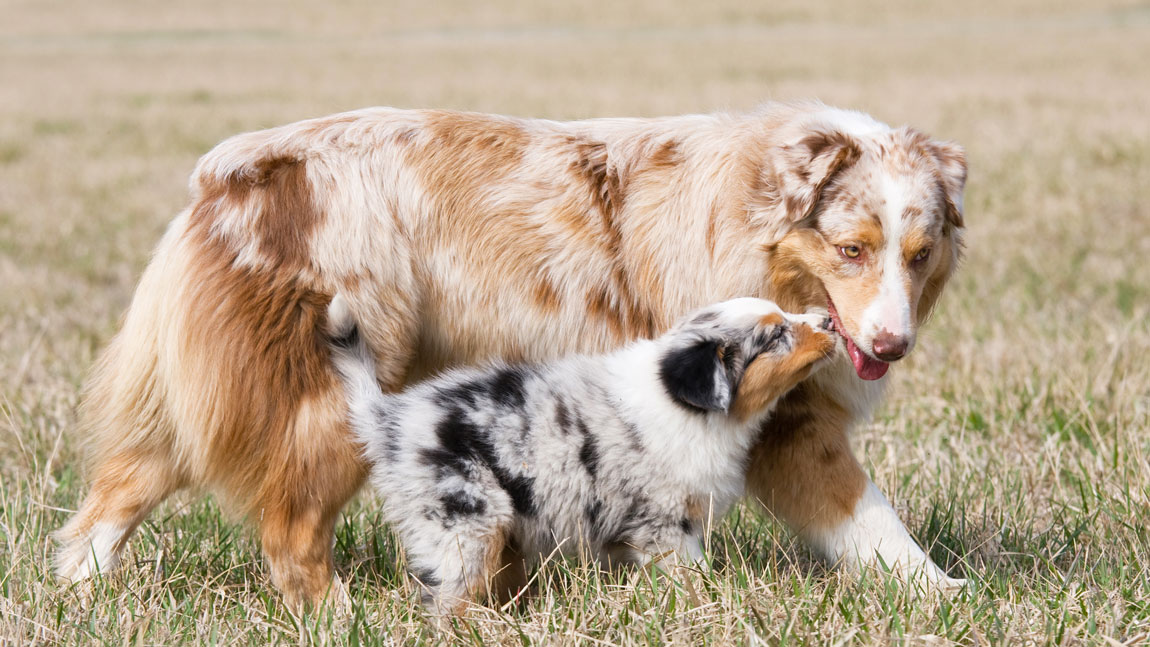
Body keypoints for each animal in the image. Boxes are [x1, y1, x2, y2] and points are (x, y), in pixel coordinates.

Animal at [326, 296, 837, 615]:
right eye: (776, 336)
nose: (830, 320)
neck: (685, 404)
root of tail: (388, 417)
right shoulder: (666, 526)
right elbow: (692, 575)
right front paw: (708, 602)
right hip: (464, 523)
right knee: (448, 599)